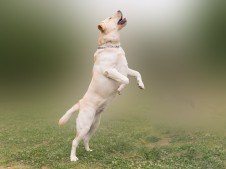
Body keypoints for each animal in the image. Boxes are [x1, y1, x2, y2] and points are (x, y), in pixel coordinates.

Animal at [58, 10, 145, 161]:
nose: (119, 9)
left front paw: (141, 84)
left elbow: (136, 73)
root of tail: (80, 102)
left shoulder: (125, 69)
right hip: (84, 125)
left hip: (94, 125)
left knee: (86, 138)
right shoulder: (110, 71)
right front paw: (120, 89)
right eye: (110, 17)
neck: (111, 46)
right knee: (74, 141)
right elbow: (125, 80)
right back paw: (73, 158)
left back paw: (88, 150)